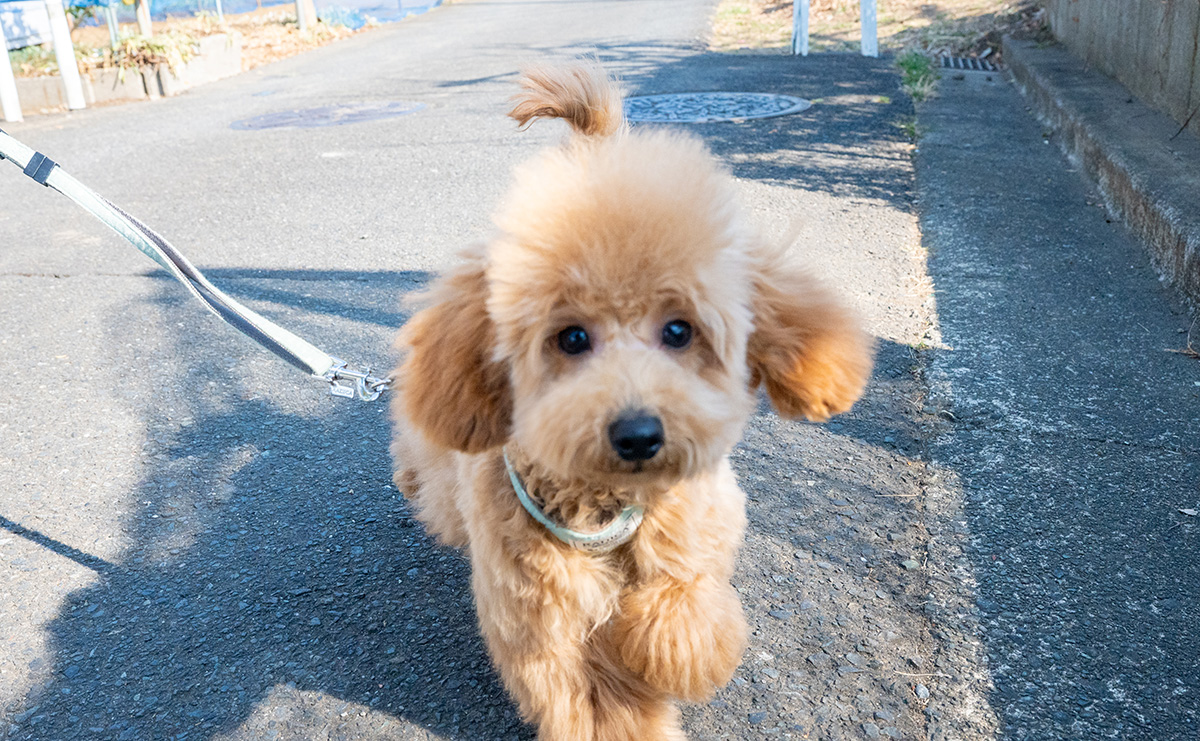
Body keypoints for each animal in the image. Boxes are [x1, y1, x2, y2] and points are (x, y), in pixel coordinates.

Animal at [393, 65, 873, 738]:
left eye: (678, 330)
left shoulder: (705, 523)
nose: (640, 434)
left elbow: (683, 601)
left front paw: (672, 652)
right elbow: (592, 699)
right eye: (571, 338)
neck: (606, 503)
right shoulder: (542, 619)